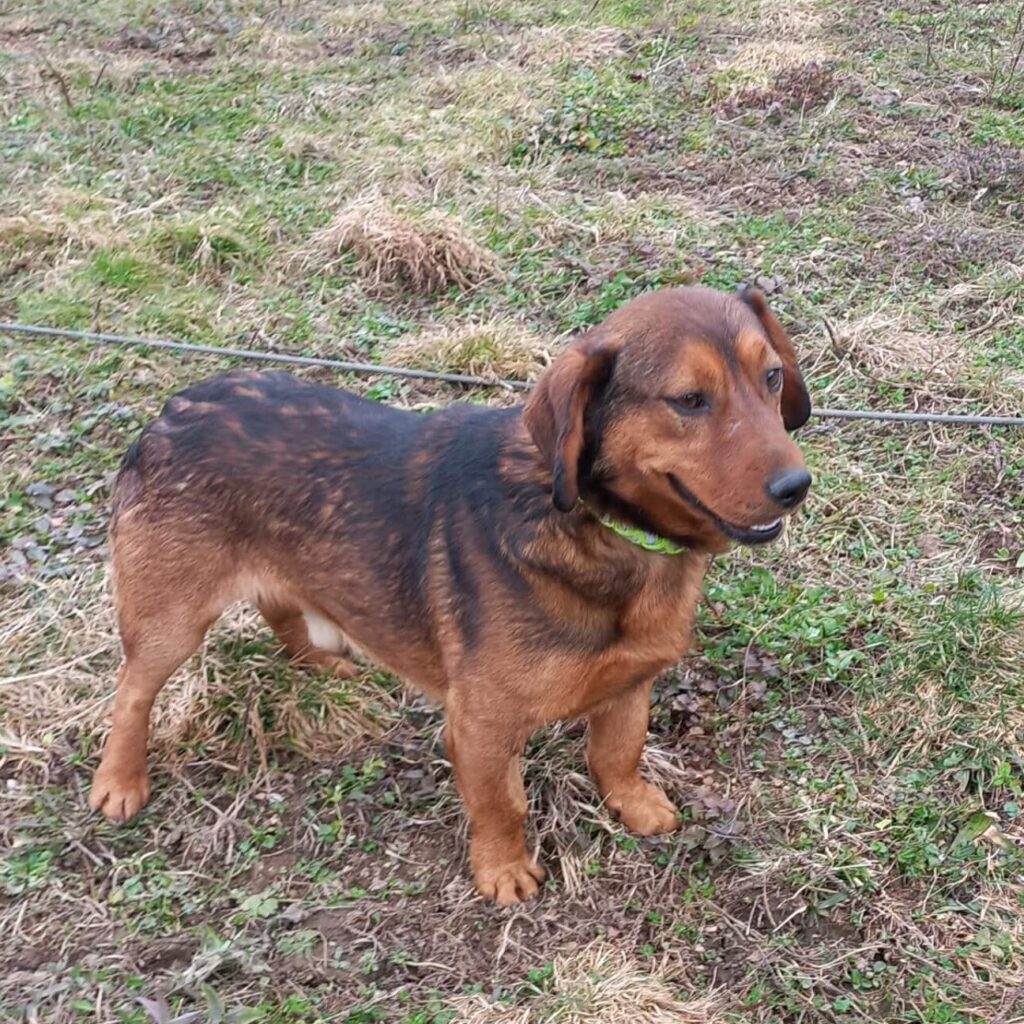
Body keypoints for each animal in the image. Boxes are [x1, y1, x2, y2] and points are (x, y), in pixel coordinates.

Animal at [89, 285, 811, 905]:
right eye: (689, 400)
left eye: (773, 377)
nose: (796, 486)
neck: (602, 530)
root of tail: (173, 411)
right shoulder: (480, 727)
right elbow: (501, 804)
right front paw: (503, 869)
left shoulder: (632, 684)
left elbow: (618, 751)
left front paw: (632, 804)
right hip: (171, 620)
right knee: (132, 692)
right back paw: (120, 780)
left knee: (279, 606)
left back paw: (319, 662)